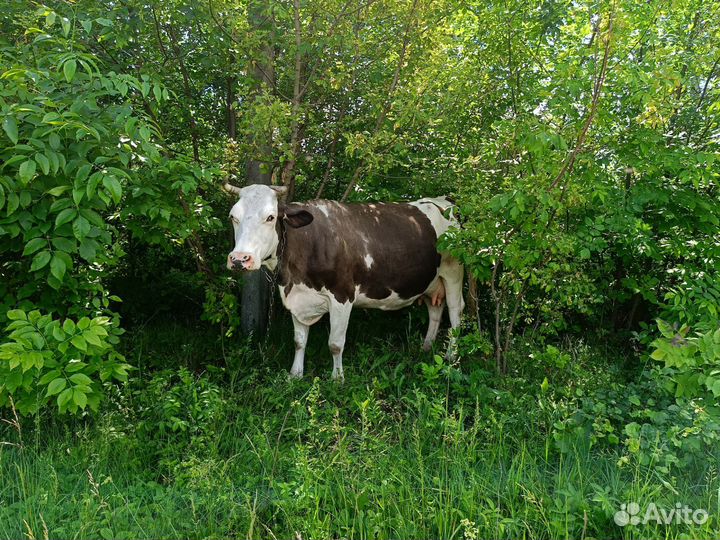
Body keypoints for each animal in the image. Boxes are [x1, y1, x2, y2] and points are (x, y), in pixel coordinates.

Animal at [224, 183, 464, 380]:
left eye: (271, 217)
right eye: (233, 217)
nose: (240, 258)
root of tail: (446, 200)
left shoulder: (342, 295)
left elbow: (335, 344)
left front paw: (337, 379)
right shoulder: (297, 298)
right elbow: (299, 341)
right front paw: (295, 375)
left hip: (453, 272)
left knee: (455, 313)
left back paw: (451, 357)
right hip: (432, 280)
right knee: (436, 310)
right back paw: (426, 347)